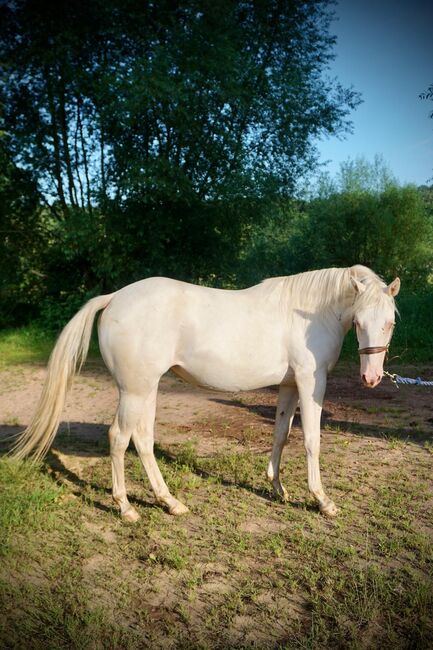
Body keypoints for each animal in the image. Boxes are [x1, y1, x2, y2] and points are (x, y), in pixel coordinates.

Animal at [11, 264, 400, 516]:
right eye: (359, 322)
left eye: (390, 322)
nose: (371, 378)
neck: (308, 316)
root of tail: (115, 297)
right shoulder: (310, 382)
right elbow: (311, 441)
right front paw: (323, 501)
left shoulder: (290, 385)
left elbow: (281, 435)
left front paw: (278, 489)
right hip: (134, 391)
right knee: (119, 438)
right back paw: (125, 508)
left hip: (146, 390)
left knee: (143, 439)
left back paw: (170, 503)